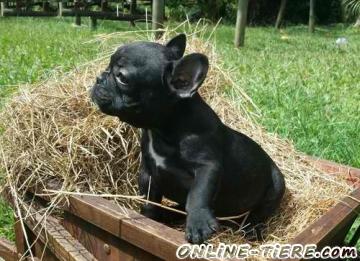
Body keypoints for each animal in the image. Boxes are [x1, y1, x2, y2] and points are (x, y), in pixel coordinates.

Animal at [91, 33, 286, 243]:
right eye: (108, 67)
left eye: (122, 77)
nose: (99, 78)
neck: (162, 130)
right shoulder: (147, 172)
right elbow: (150, 199)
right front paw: (149, 218)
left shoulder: (207, 167)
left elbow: (198, 195)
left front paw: (198, 223)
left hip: (275, 187)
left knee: (257, 214)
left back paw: (252, 229)